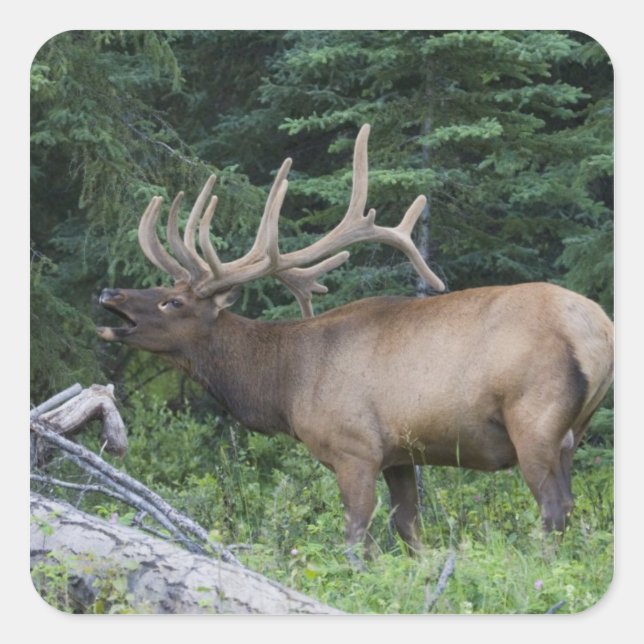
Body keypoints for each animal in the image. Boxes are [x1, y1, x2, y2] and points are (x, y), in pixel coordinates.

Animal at [97, 124, 614, 563]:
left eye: (173, 301)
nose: (108, 293)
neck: (286, 386)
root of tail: (600, 330)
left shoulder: (354, 447)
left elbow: (355, 537)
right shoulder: (400, 454)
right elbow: (408, 529)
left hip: (534, 415)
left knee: (554, 508)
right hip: (573, 430)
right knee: (570, 506)